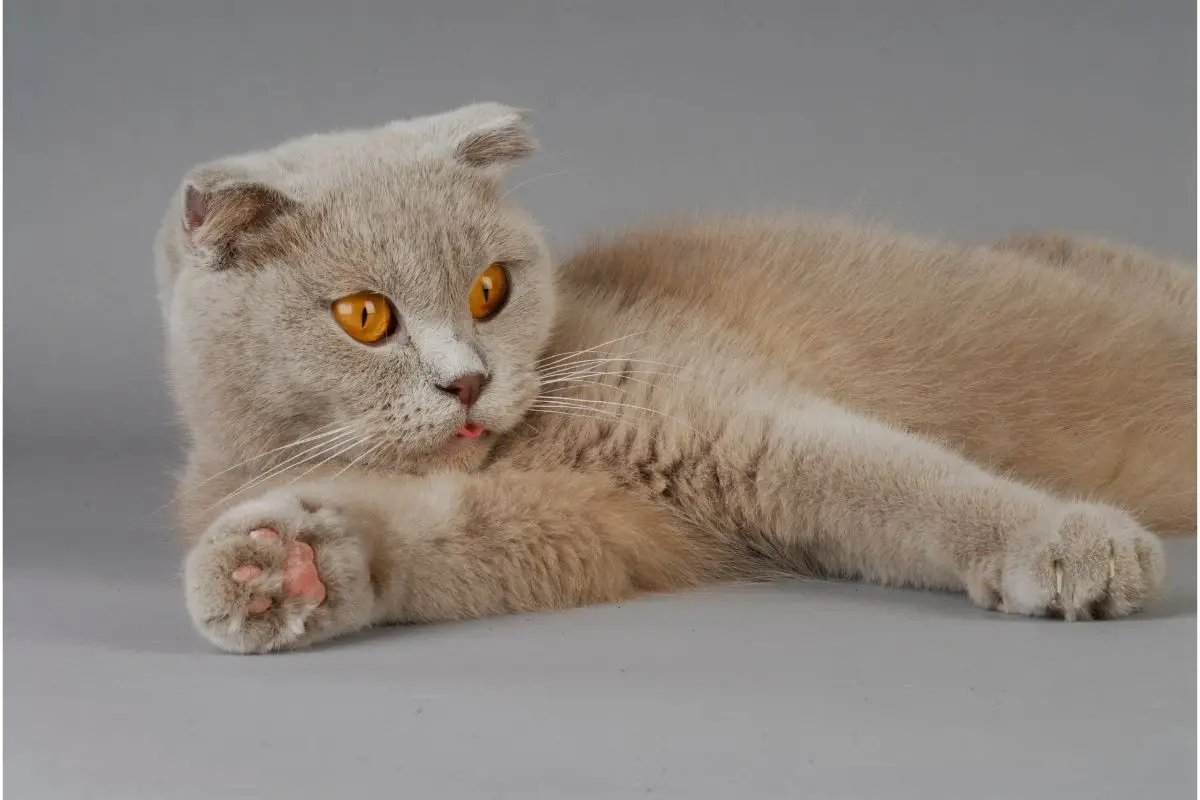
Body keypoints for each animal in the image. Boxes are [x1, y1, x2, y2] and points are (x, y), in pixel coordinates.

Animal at [154, 101, 1195, 652]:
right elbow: (441, 543)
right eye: (366, 317)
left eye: (490, 290)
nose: (469, 383)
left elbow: (906, 481)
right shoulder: (576, 523)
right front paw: (279, 567)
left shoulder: (740, 426)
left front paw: (1068, 543)